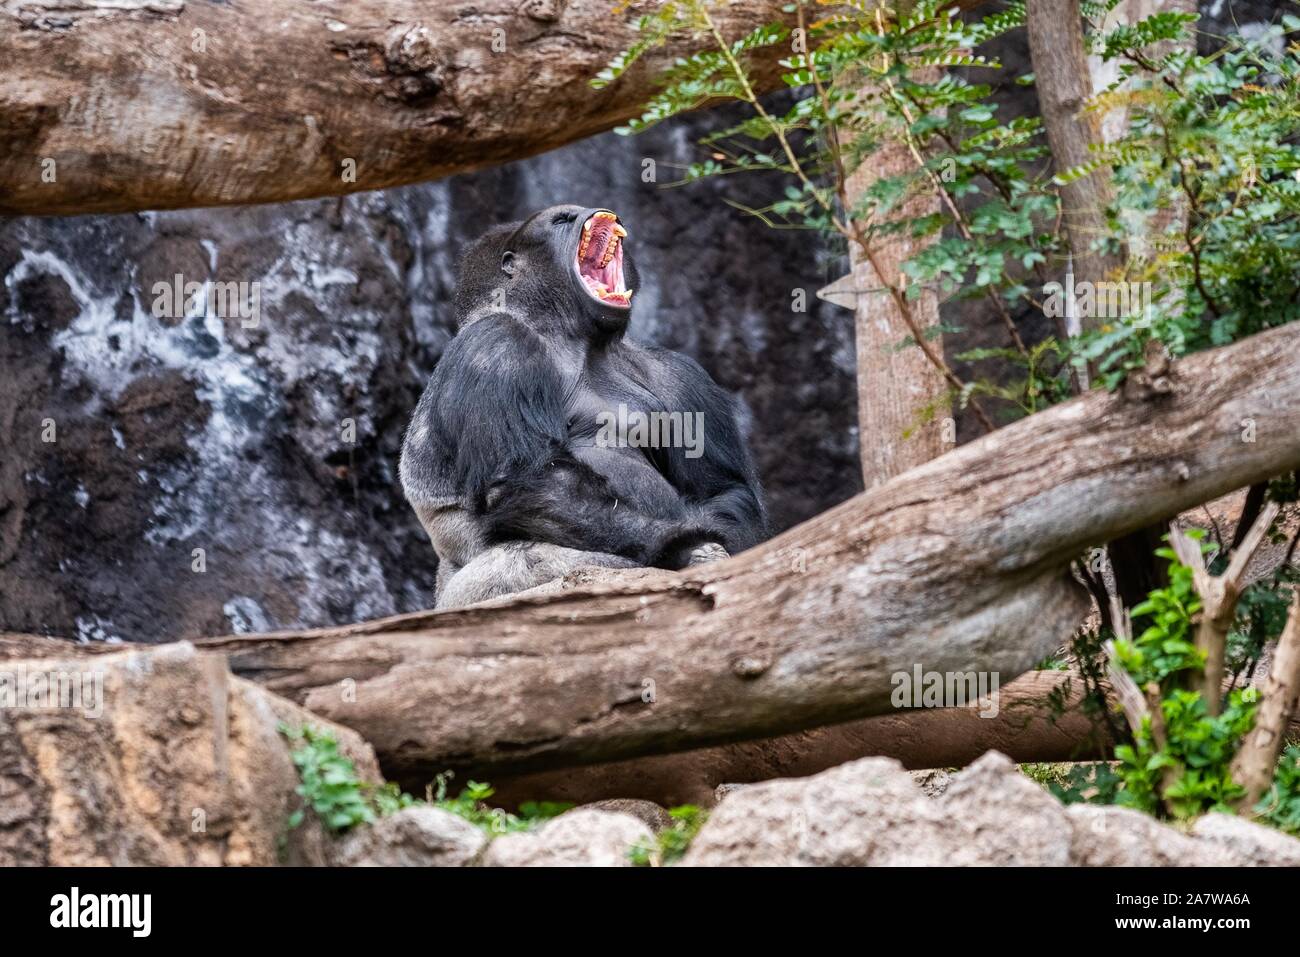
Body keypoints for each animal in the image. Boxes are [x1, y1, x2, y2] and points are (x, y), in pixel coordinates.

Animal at [400, 204, 764, 605]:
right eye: (560, 220)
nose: (590, 213)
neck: (569, 335)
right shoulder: (495, 342)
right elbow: (527, 478)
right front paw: (681, 544)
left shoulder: (676, 373)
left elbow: (722, 489)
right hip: (456, 596)